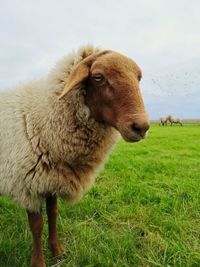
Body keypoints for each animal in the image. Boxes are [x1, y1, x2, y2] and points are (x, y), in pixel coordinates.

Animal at [0, 46, 149, 267]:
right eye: (98, 77)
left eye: (138, 78)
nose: (141, 127)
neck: (43, 120)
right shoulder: (27, 186)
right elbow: (37, 225)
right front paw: (38, 261)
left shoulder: (52, 179)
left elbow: (53, 215)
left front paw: (57, 251)